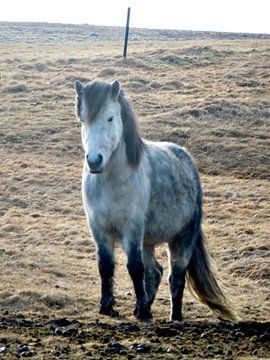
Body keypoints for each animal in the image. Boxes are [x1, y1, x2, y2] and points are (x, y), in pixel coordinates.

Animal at [75, 78, 235, 320]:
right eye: (83, 119)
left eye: (110, 117)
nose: (94, 161)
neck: (111, 183)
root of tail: (186, 158)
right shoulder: (98, 228)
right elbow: (105, 266)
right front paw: (107, 307)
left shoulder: (132, 228)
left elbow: (134, 268)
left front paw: (142, 312)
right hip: (148, 241)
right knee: (155, 272)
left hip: (181, 238)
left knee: (175, 276)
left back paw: (174, 316)